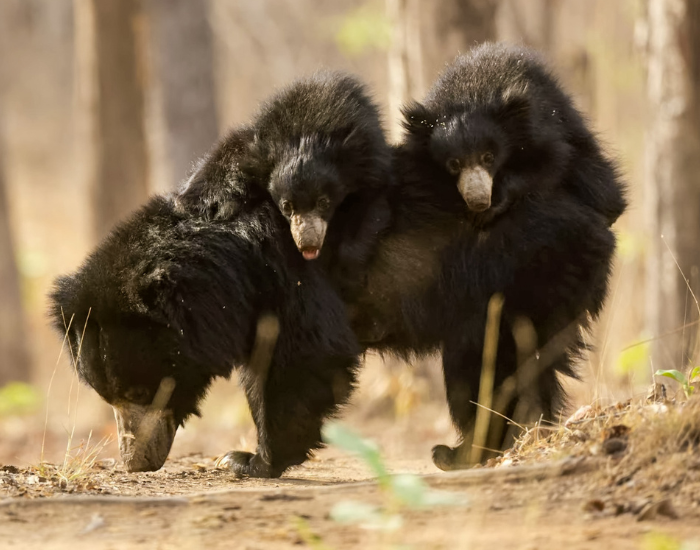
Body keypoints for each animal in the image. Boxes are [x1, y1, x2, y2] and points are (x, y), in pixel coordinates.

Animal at [49, 195, 362, 477]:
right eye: (105, 396)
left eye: (139, 392)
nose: (134, 462)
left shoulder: (294, 274)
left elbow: (307, 354)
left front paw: (247, 461)